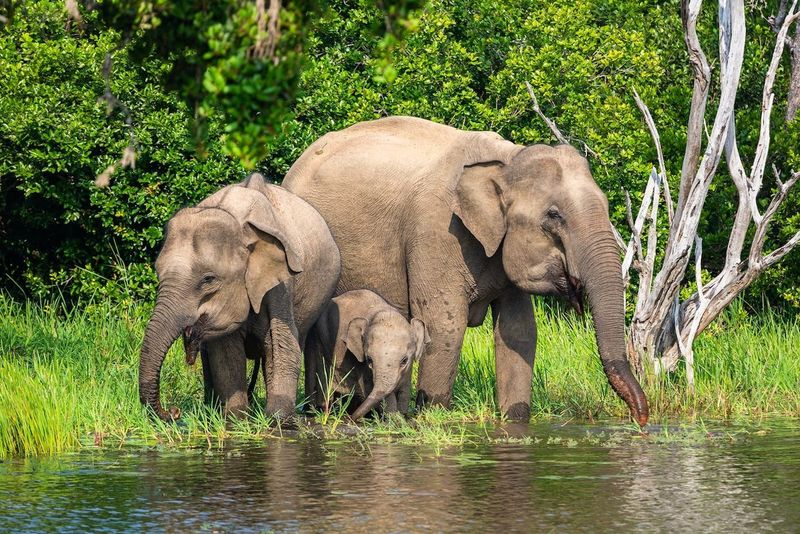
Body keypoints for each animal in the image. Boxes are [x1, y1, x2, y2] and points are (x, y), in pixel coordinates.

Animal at [141, 175, 340, 422]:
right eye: (158, 274)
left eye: (208, 279)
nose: (174, 412)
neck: (240, 223)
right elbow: (226, 352)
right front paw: (236, 418)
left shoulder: (282, 283)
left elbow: (281, 343)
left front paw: (278, 420)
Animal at [306, 292, 432, 420]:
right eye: (369, 360)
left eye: (404, 360)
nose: (349, 418)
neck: (385, 313)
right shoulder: (361, 364)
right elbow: (375, 389)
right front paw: (393, 418)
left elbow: (404, 390)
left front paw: (402, 416)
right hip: (319, 338)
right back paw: (322, 411)